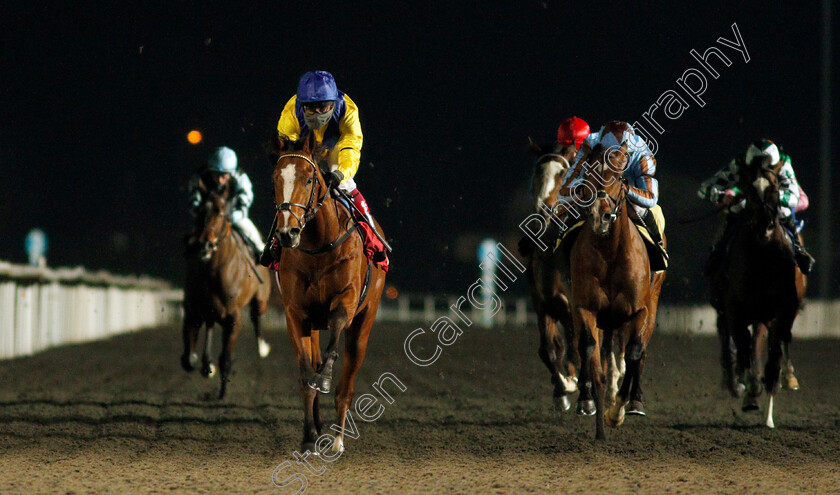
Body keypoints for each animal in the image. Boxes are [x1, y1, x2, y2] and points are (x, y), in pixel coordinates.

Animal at [181, 184, 270, 402]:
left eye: (221, 212)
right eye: (199, 210)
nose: (204, 243)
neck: (213, 269)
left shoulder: (233, 317)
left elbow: (226, 359)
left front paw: (222, 393)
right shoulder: (193, 311)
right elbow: (188, 358)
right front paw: (204, 364)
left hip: (260, 300)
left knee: (256, 317)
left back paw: (262, 348)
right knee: (210, 325)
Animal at [270, 134, 386, 456]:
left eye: (309, 179)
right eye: (276, 178)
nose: (287, 233)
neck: (318, 246)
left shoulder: (346, 299)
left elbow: (335, 330)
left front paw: (324, 375)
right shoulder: (296, 314)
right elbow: (304, 375)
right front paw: (308, 436)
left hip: (364, 322)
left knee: (346, 384)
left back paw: (337, 439)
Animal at [560, 141, 668, 440]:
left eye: (618, 177)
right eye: (586, 176)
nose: (601, 216)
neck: (610, 253)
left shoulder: (639, 310)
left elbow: (633, 352)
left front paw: (617, 411)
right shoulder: (584, 308)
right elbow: (589, 349)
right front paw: (594, 412)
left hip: (652, 301)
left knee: (639, 351)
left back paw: (635, 401)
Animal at [708, 154, 808, 426]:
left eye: (775, 187)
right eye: (750, 189)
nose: (765, 224)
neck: (763, 259)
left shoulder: (782, 310)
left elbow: (771, 358)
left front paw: (768, 415)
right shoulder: (736, 307)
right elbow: (744, 345)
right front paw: (746, 388)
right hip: (726, 305)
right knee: (728, 336)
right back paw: (735, 381)